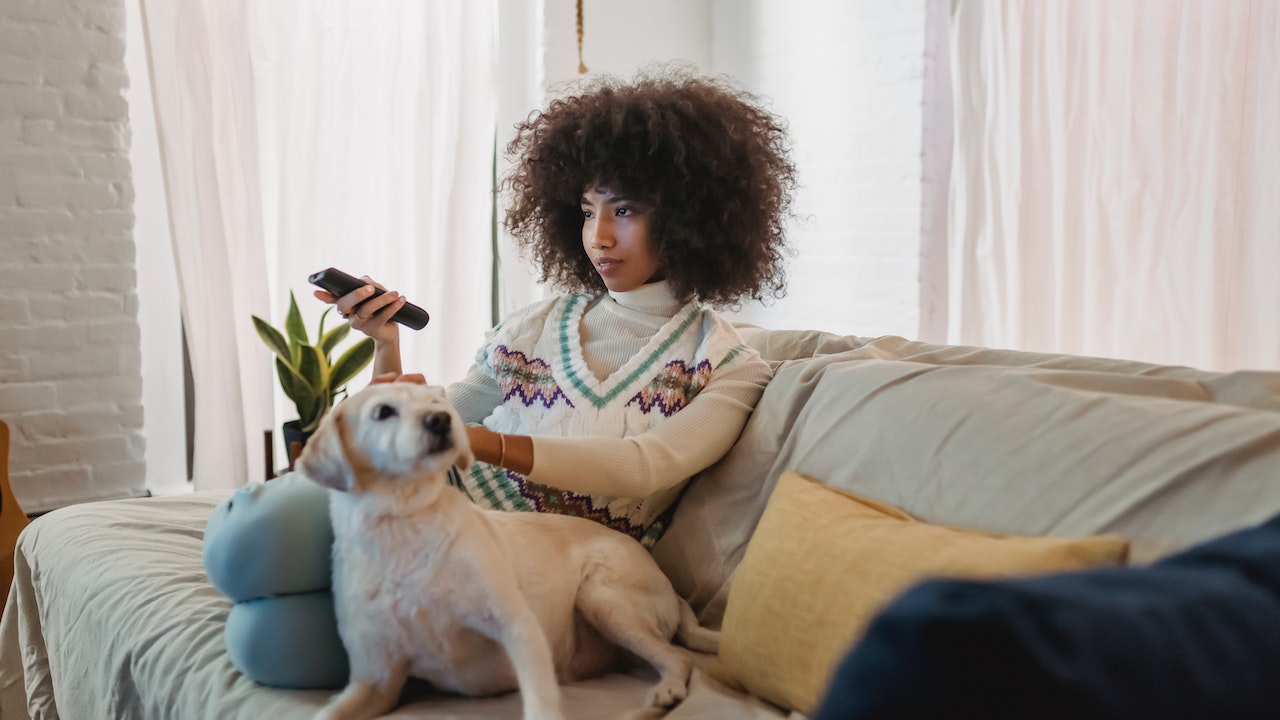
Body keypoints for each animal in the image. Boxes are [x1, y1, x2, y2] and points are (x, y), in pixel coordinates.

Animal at [294, 381, 727, 717]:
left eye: (436, 403)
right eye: (383, 411)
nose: (442, 419)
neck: (402, 525)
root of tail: (671, 589)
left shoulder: (519, 628)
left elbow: (540, 702)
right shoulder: (376, 681)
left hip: (602, 597)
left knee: (678, 657)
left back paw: (668, 688)